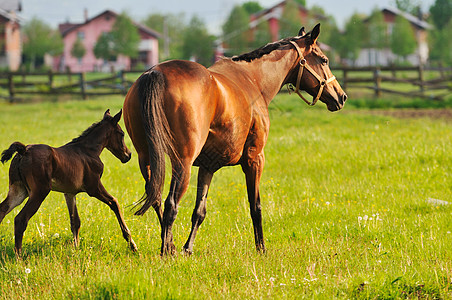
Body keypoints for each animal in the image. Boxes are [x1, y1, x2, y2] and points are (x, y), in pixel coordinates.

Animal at [0, 109, 138, 254]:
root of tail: (23, 151)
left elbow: (75, 221)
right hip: (39, 192)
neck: (89, 151)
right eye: (122, 133)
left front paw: (76, 249)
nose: (128, 155)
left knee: (2, 210)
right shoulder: (94, 187)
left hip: (19, 191)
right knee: (20, 219)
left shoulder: (69, 193)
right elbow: (114, 202)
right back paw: (19, 256)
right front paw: (132, 245)